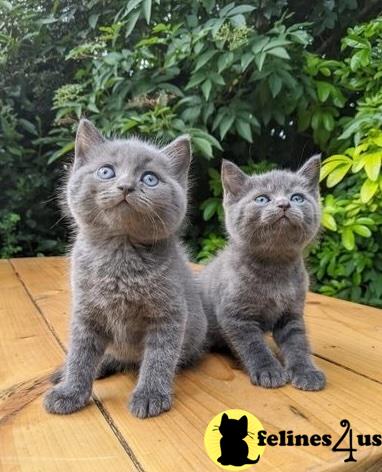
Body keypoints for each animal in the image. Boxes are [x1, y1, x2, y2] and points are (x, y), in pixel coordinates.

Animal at [43, 120, 207, 418]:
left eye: (150, 179)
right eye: (106, 171)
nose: (126, 187)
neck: (120, 255)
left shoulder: (169, 315)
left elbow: (159, 357)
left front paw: (150, 394)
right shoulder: (86, 312)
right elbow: (81, 354)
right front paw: (70, 391)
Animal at [200, 158, 326, 390]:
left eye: (297, 197)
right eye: (262, 199)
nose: (284, 204)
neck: (275, 269)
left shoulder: (291, 315)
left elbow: (298, 343)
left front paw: (306, 371)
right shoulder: (235, 316)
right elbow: (253, 346)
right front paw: (269, 370)